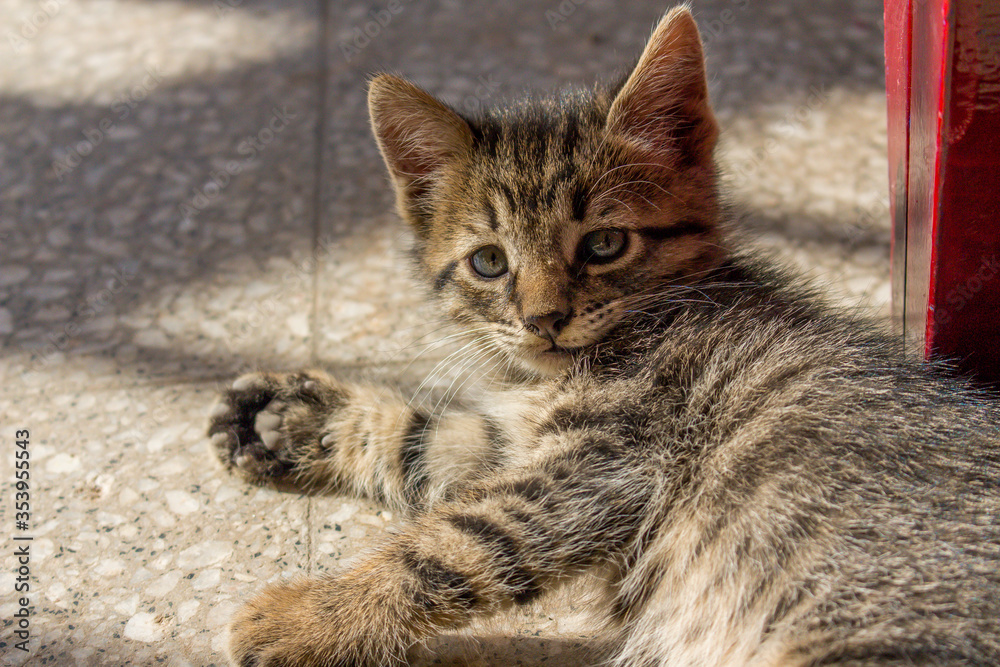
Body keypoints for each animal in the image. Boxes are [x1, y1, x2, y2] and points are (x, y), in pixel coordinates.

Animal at [205, 6, 1000, 667]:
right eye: (489, 262)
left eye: (605, 244)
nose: (543, 319)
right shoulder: (527, 438)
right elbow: (431, 440)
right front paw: (298, 416)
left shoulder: (607, 462)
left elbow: (454, 541)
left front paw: (311, 614)